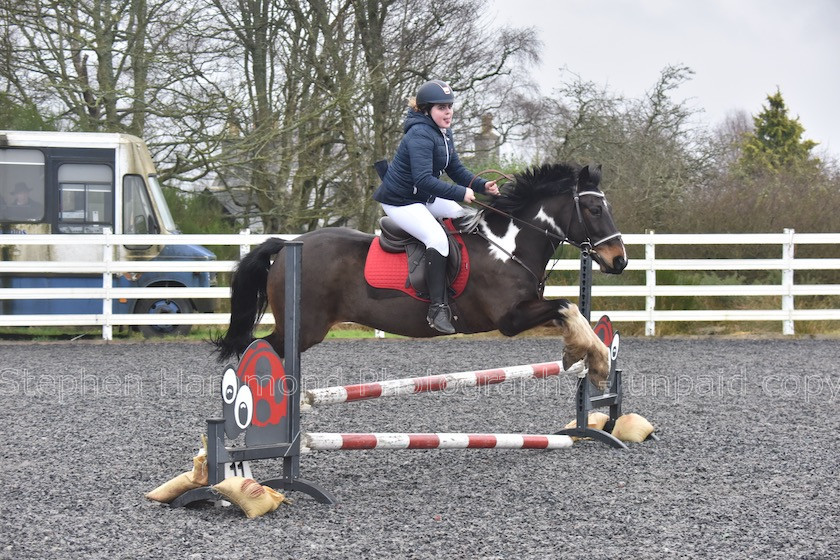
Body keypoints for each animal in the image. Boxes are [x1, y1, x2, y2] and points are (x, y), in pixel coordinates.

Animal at [213, 163, 628, 384]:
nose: (619, 260)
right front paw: (593, 358)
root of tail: (288, 245)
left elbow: (570, 311)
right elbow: (567, 306)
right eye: (594, 210)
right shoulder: (509, 318)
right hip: (304, 329)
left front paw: (591, 357)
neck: (508, 245)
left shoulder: (528, 308)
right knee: (260, 348)